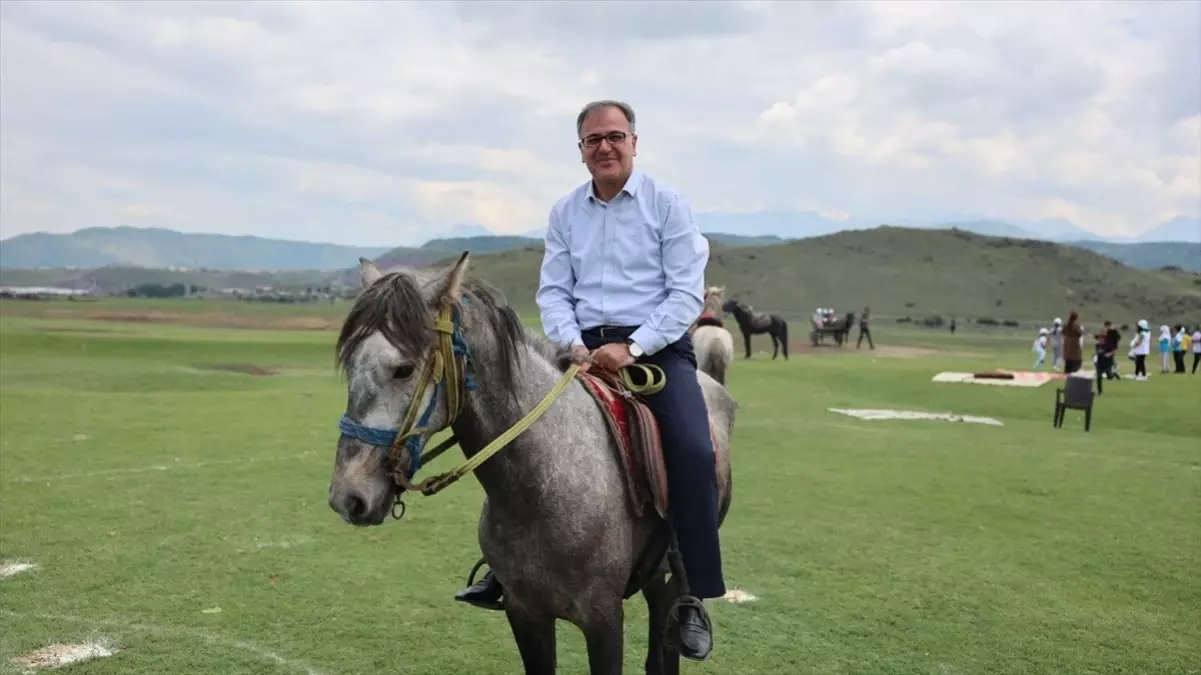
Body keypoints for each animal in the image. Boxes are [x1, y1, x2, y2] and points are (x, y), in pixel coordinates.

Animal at [324, 253, 735, 672]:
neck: (542, 484)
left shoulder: (603, 620)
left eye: (404, 369)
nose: (348, 497)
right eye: (350, 364)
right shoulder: (524, 612)